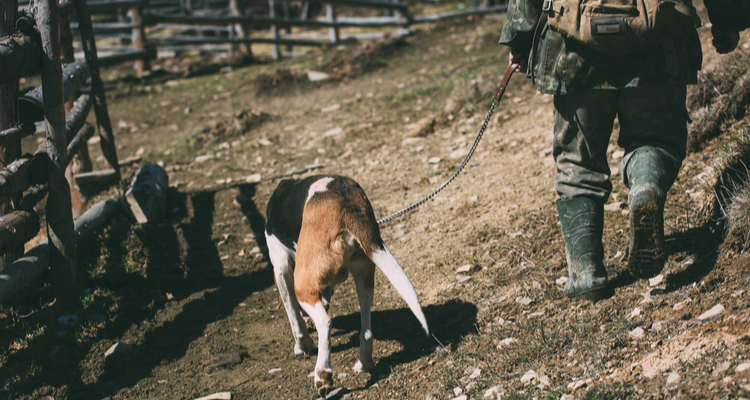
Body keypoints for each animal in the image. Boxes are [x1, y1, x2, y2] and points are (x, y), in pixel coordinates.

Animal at [264, 173, 428, 396]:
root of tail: (348, 201)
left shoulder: (281, 267)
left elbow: (294, 317)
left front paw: (302, 346)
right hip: (364, 276)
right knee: (366, 331)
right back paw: (364, 364)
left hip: (302, 284)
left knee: (325, 322)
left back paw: (323, 374)